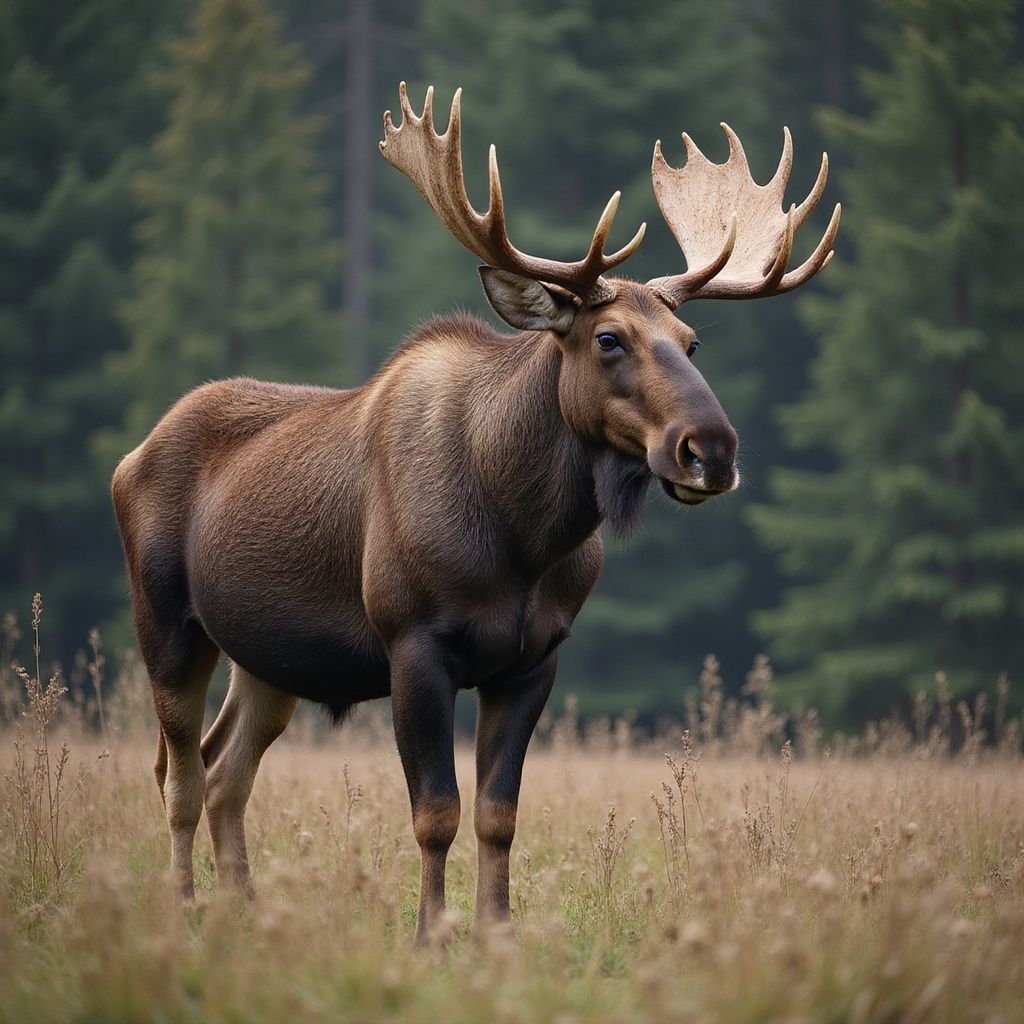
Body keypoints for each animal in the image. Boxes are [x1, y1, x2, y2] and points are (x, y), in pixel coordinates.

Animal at [111, 83, 839, 942]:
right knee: (178, 773)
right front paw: (431, 934)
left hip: (267, 657)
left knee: (225, 770)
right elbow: (436, 812)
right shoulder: (413, 645)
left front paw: (497, 932)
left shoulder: (535, 656)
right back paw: (183, 906)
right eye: (608, 339)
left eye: (692, 342)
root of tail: (130, 457)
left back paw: (243, 906)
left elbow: (498, 814)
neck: (521, 535)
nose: (712, 450)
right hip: (166, 622)